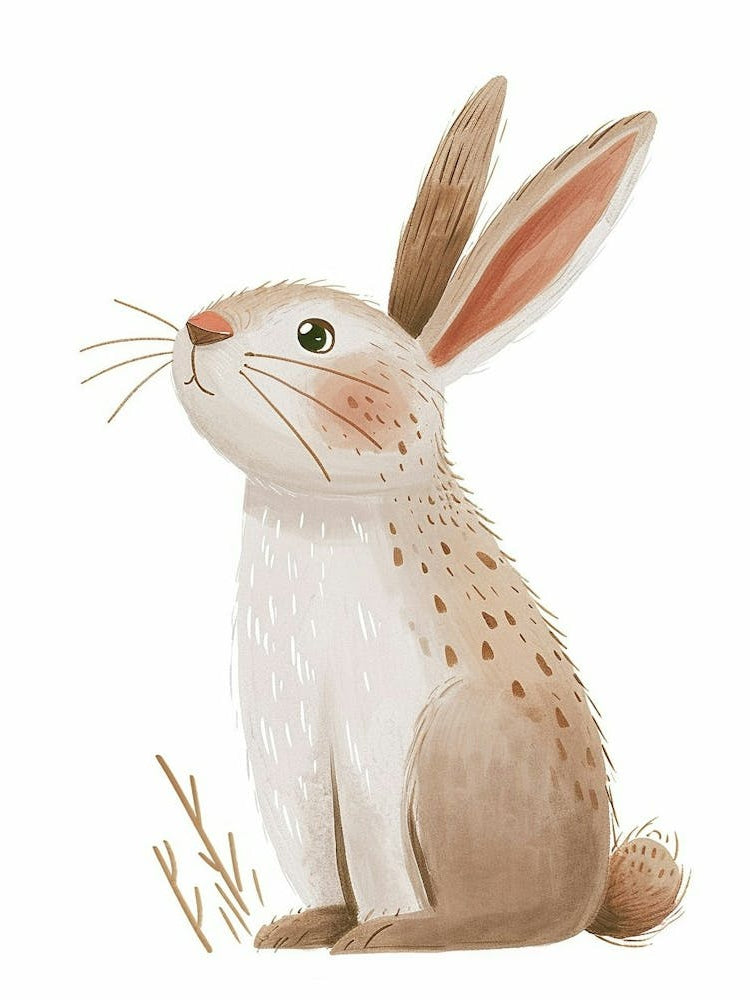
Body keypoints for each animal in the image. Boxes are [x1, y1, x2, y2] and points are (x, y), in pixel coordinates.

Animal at [85, 76, 685, 951]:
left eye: (314, 334)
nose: (202, 327)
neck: (320, 512)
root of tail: (591, 899)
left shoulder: (375, 739)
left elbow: (373, 850)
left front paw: (372, 936)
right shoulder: (289, 753)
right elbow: (321, 853)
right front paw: (300, 928)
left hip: (455, 751)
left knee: (509, 918)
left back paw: (403, 934)